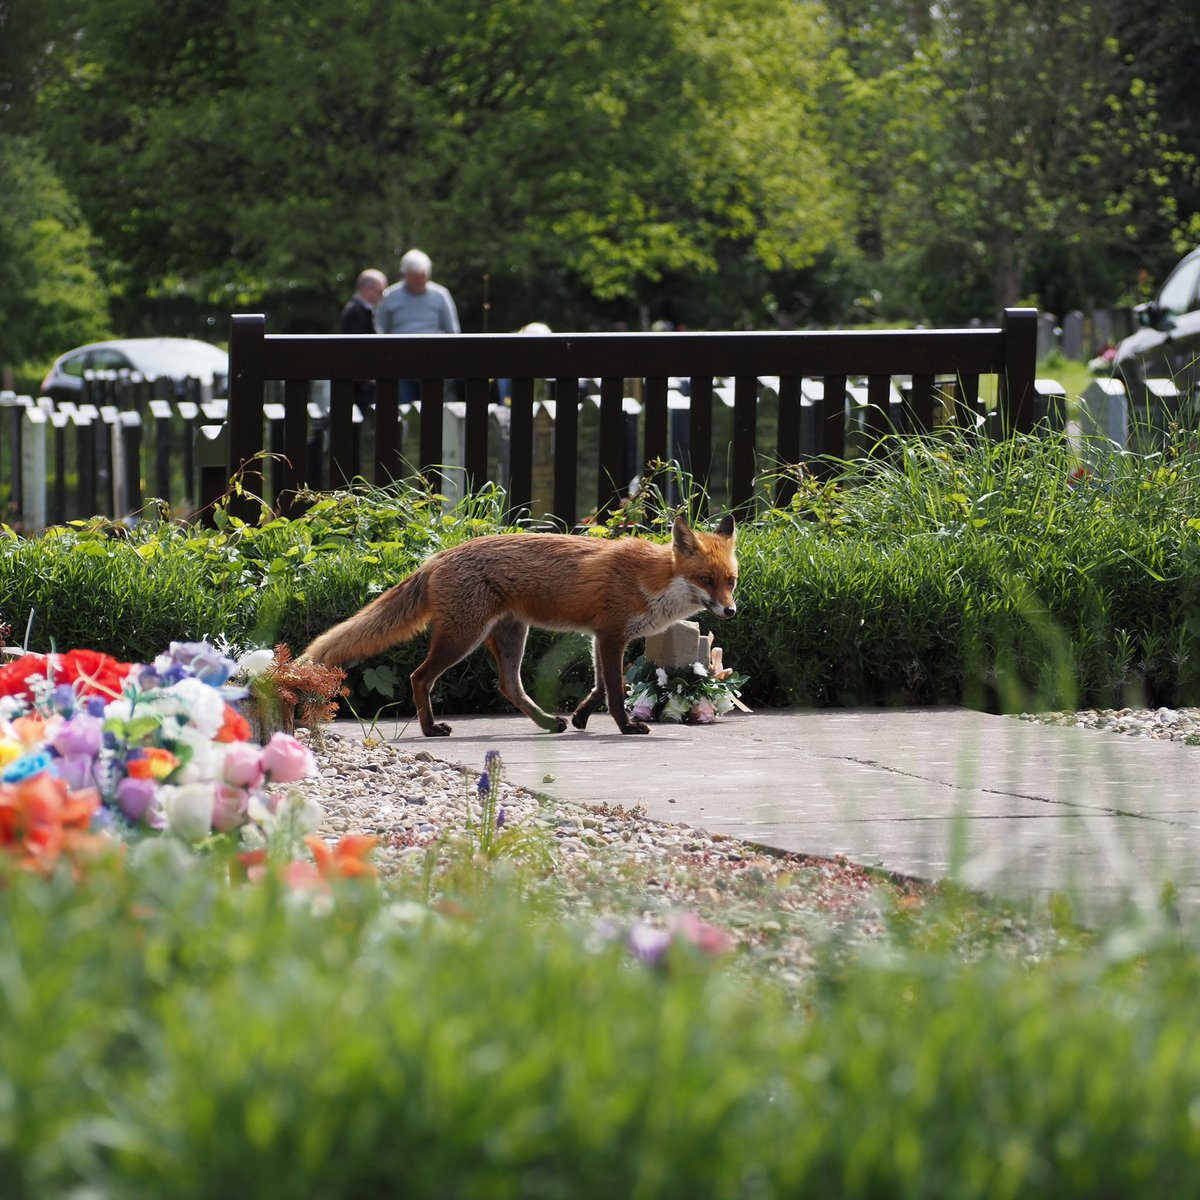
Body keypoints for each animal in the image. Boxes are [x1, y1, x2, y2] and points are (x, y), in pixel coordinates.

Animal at [302, 513, 729, 734]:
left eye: (732, 581)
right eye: (706, 579)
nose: (731, 612)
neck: (653, 581)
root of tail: (437, 556)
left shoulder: (599, 637)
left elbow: (599, 686)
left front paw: (580, 717)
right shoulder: (611, 636)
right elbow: (615, 690)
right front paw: (626, 727)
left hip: (510, 635)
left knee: (508, 685)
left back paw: (547, 723)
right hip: (463, 638)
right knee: (419, 677)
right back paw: (430, 728)